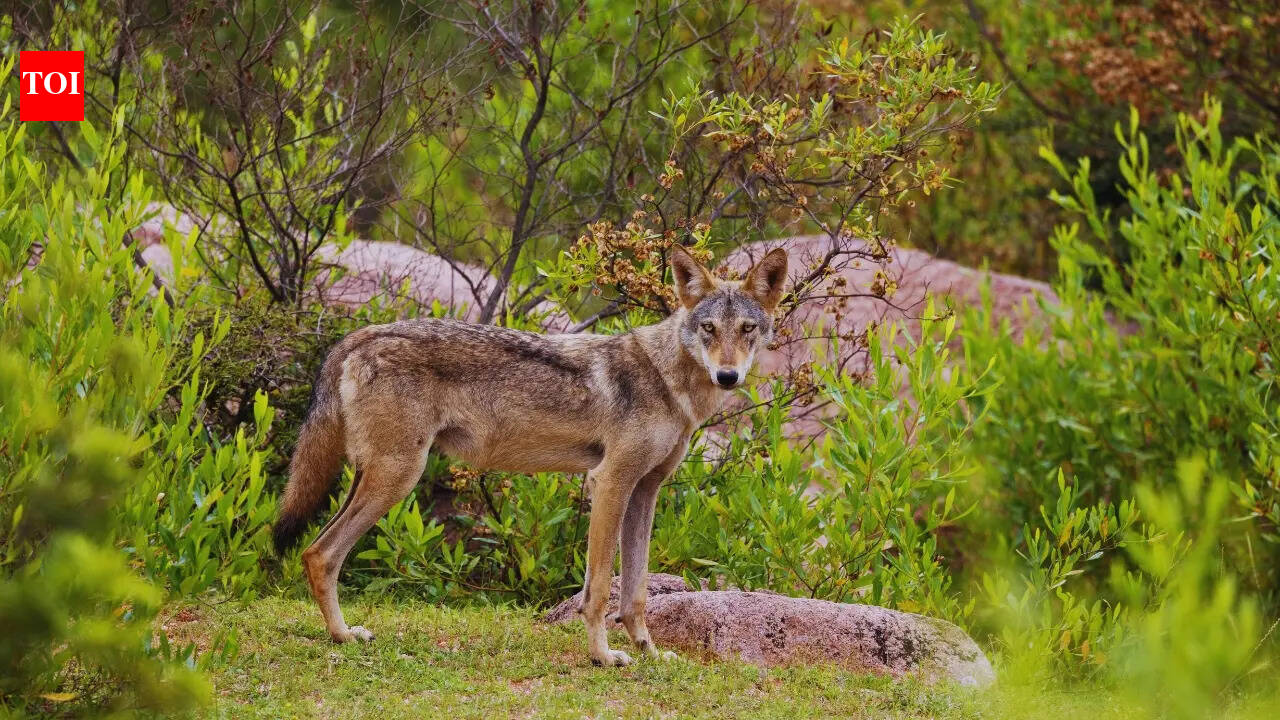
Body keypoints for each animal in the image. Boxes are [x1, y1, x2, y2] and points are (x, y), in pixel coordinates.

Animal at [272, 245, 788, 666]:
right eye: (708, 329)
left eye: (746, 329)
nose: (727, 376)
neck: (669, 381)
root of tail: (360, 335)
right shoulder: (610, 482)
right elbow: (599, 588)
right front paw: (602, 657)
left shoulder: (645, 491)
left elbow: (635, 592)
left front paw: (649, 652)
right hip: (397, 478)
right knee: (319, 553)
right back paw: (341, 636)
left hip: (378, 477)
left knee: (317, 553)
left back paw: (342, 635)